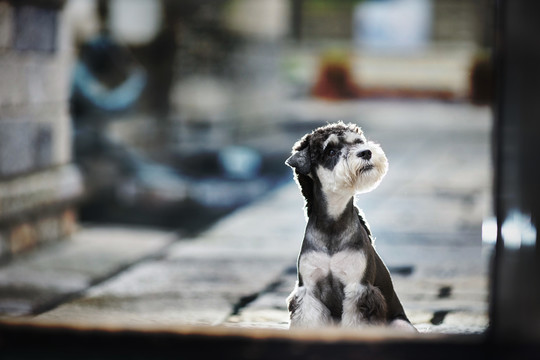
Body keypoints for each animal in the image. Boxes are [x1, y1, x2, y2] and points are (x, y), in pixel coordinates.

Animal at [284, 122, 416, 330]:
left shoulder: (359, 290)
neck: (333, 224)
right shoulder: (308, 292)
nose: (366, 152)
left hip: (400, 324)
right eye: (330, 151)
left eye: (358, 142)